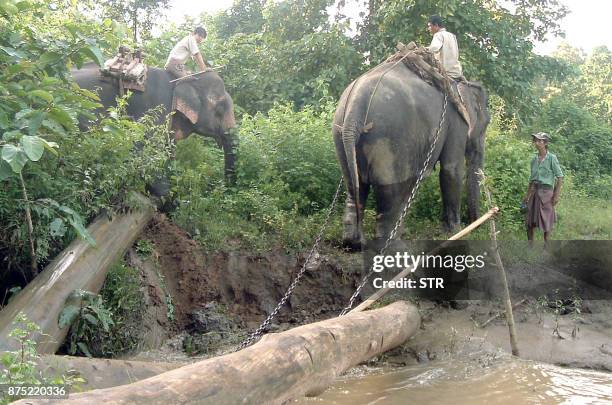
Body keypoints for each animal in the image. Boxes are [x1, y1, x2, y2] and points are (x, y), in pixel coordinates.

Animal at [332, 62, 490, 249]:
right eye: (486, 123)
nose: (475, 223)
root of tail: (356, 105)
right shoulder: (457, 122)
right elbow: (451, 169)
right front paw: (454, 232)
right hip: (389, 137)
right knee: (390, 191)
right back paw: (393, 247)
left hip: (340, 131)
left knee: (354, 184)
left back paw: (355, 243)